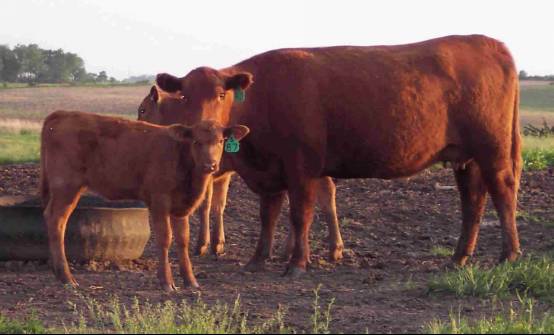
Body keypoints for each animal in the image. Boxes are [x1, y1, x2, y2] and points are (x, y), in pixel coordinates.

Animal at [41, 111, 250, 290]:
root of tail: (61, 114)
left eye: (221, 141)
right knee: (57, 221)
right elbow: (165, 238)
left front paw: (190, 281)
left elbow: (182, 240)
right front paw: (166, 282)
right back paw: (67, 277)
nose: (210, 165)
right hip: (66, 187)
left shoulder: (180, 207)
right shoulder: (159, 202)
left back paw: (58, 273)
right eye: (196, 141)